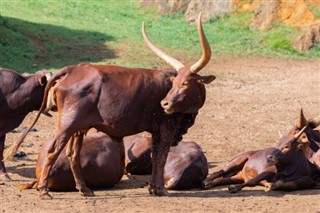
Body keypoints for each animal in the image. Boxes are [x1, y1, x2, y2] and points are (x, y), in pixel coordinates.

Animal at [3, 13, 215, 199]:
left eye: (185, 83)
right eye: (175, 82)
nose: (165, 103)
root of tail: (72, 70)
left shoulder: (156, 130)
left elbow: (156, 157)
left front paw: (153, 188)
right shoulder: (167, 128)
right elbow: (162, 157)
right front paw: (160, 189)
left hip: (78, 128)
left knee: (72, 154)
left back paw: (84, 190)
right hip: (67, 124)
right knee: (53, 151)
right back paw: (44, 191)